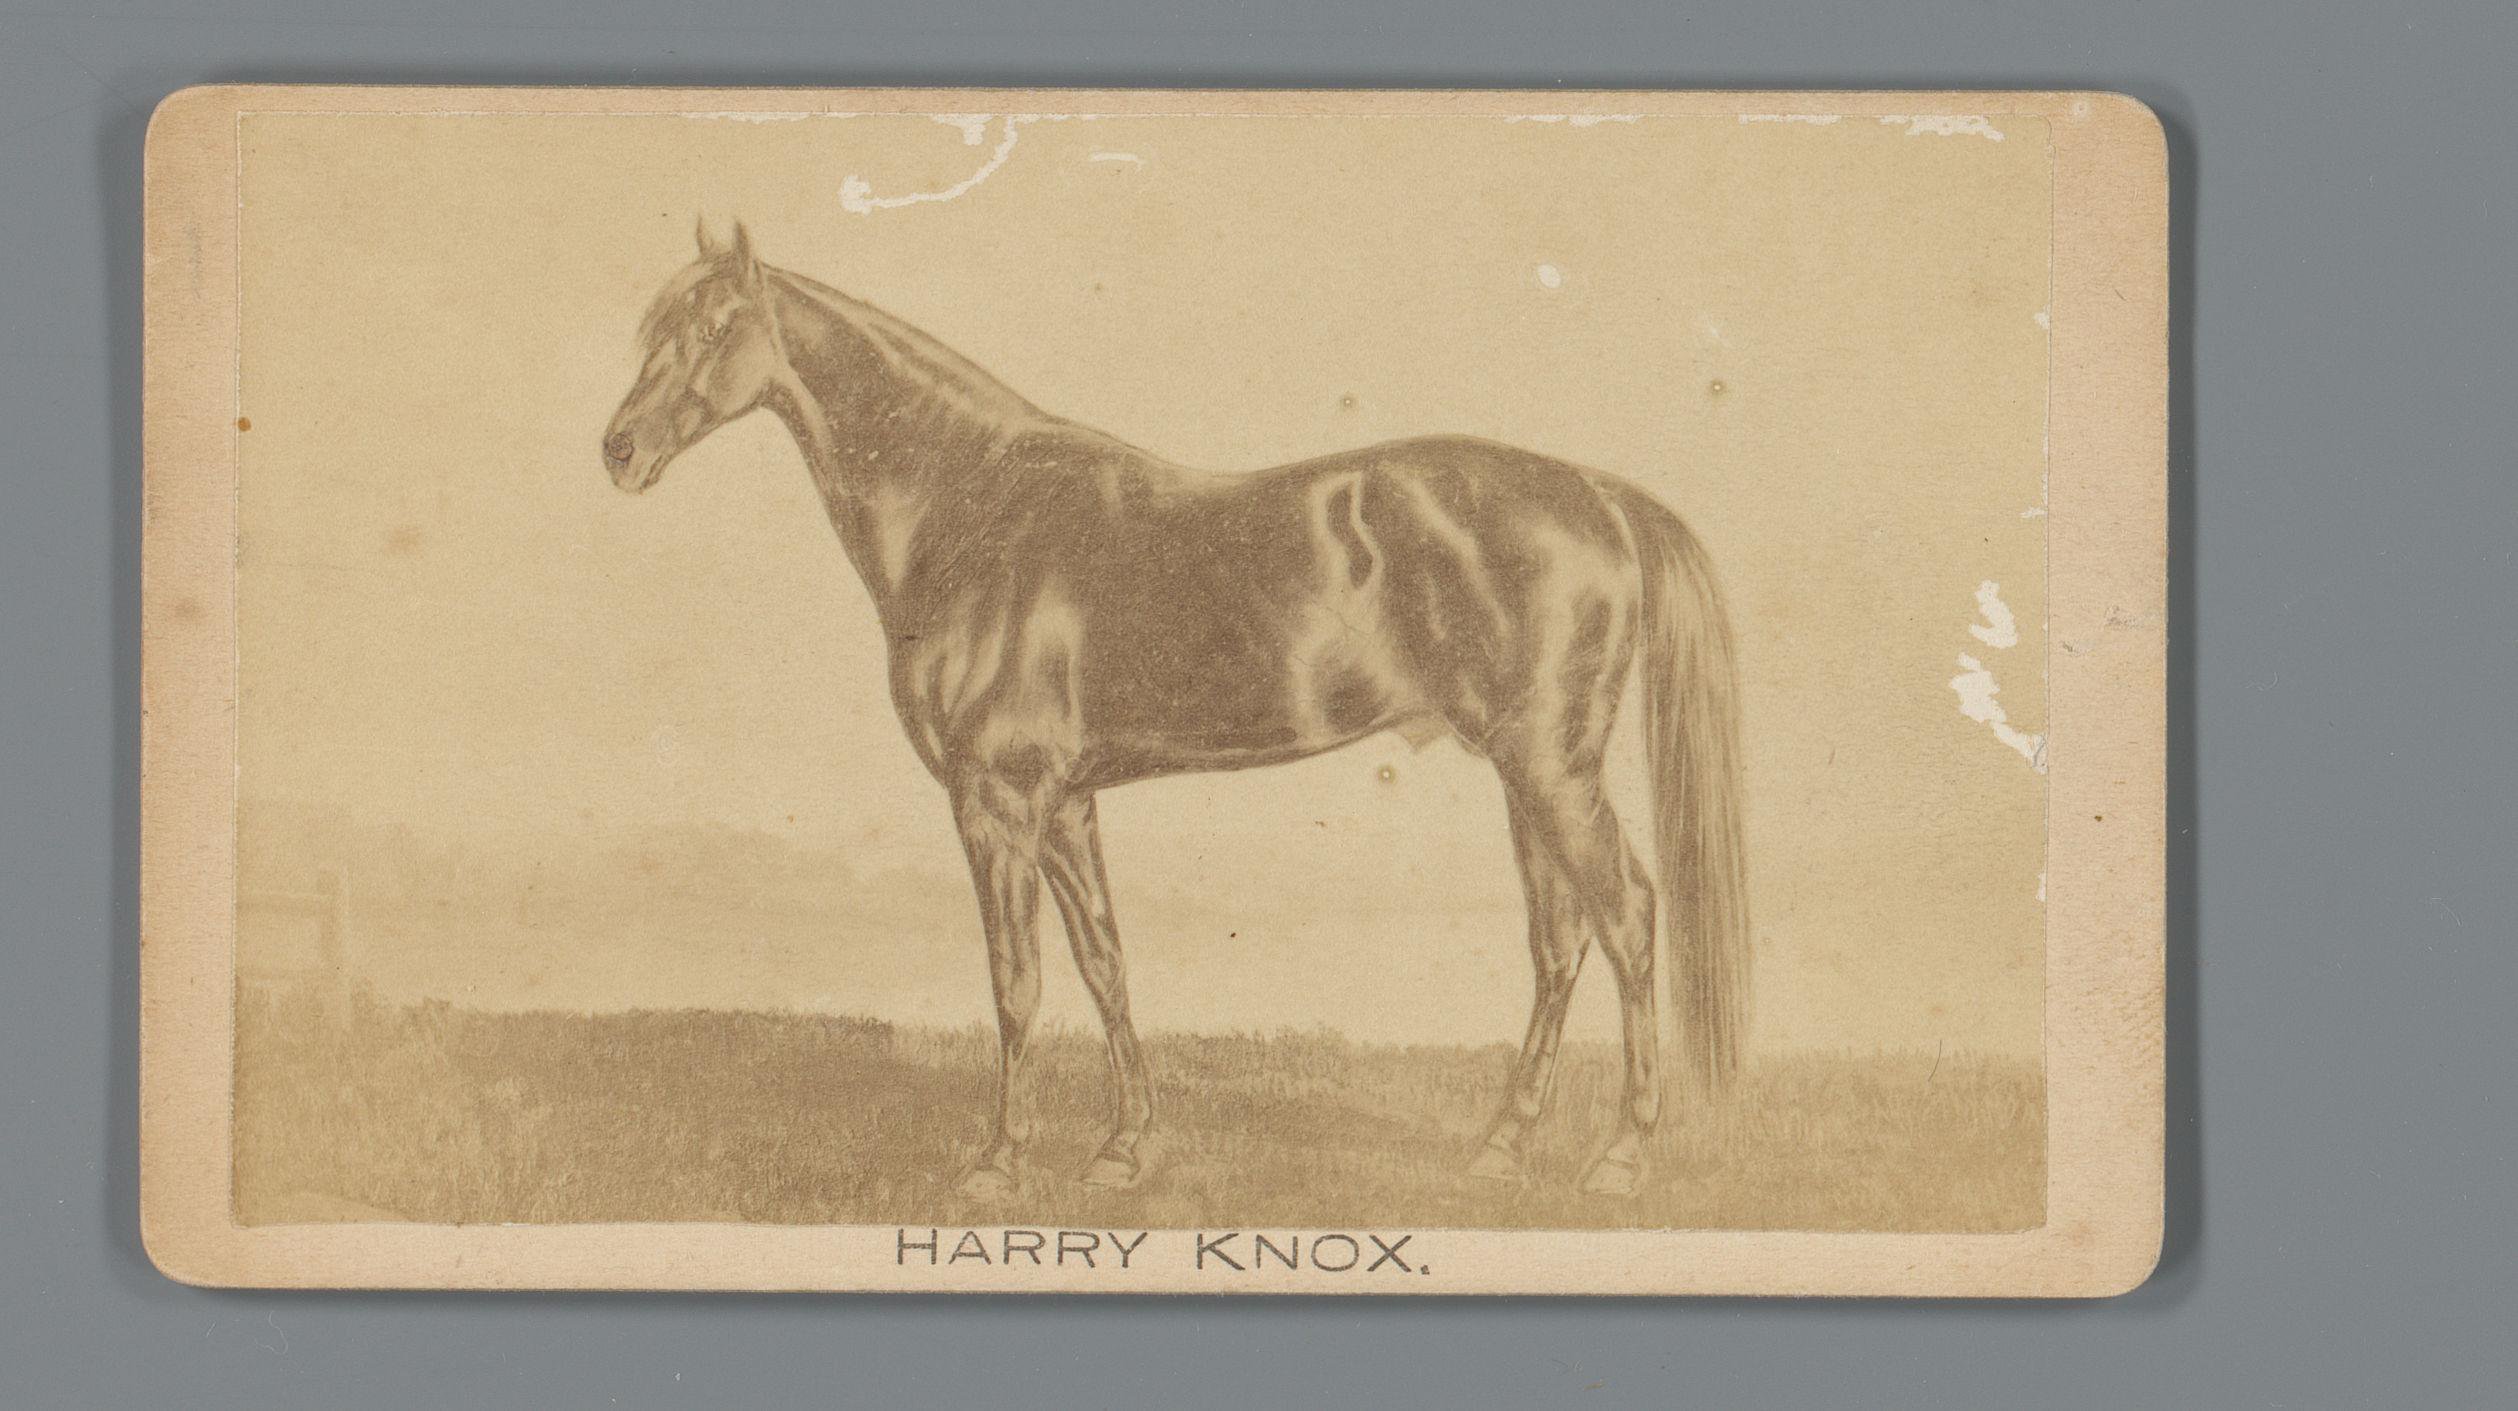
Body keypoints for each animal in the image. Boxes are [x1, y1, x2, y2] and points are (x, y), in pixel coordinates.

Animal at [602, 222, 1750, 1200]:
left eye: (713, 328)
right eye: (654, 327)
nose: (618, 450)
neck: (973, 508)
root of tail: (1600, 496)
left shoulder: (996, 801)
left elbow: (1016, 981)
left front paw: (998, 1162)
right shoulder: (1065, 804)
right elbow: (1104, 964)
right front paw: (1124, 1147)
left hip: (1553, 770)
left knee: (1627, 918)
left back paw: (1620, 1157)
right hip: (1524, 773)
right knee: (1559, 940)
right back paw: (1501, 1147)